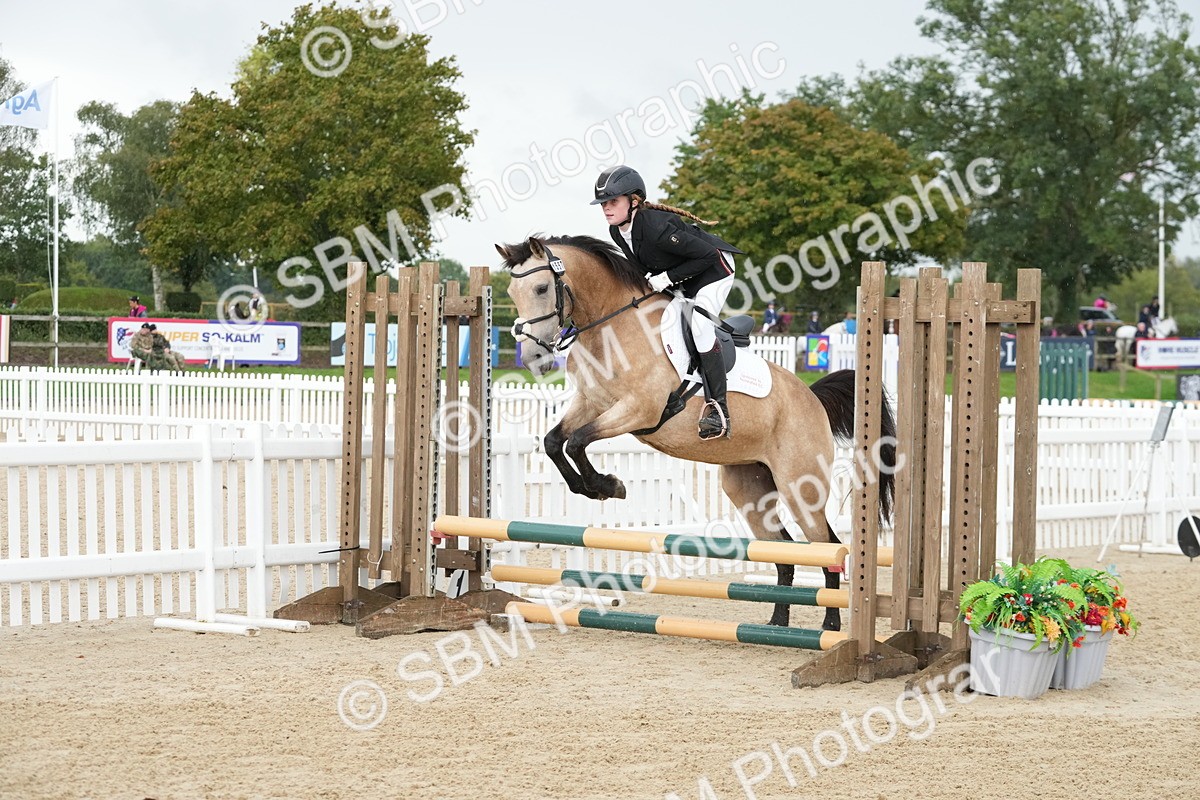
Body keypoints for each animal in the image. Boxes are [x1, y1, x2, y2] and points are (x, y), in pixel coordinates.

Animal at [495, 234, 896, 631]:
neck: (611, 327)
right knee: (783, 551)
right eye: (512, 291)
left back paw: (831, 626)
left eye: (542, 288)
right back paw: (776, 623)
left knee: (826, 546)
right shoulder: (590, 403)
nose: (532, 357)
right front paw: (591, 487)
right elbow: (554, 441)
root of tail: (812, 398)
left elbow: (578, 441)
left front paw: (609, 485)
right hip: (748, 489)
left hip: (801, 486)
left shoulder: (638, 409)